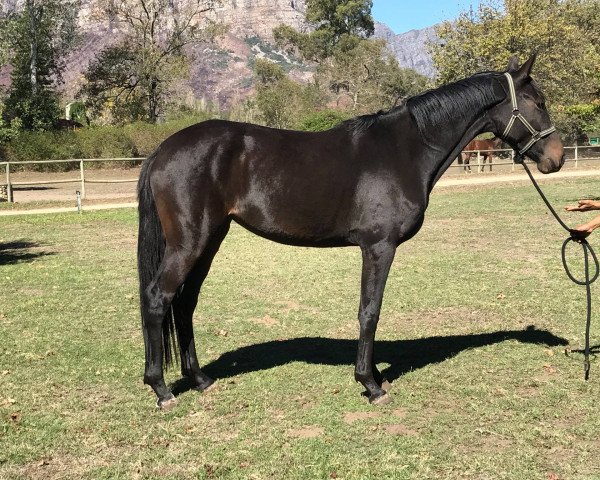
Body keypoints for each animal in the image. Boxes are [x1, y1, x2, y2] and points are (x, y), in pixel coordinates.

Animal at [138, 56, 564, 408]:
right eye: (538, 102)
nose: (556, 158)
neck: (405, 149)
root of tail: (162, 150)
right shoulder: (379, 245)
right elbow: (370, 311)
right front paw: (370, 384)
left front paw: (373, 376)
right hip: (190, 243)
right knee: (159, 298)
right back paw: (161, 389)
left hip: (210, 240)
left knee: (186, 302)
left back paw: (199, 379)